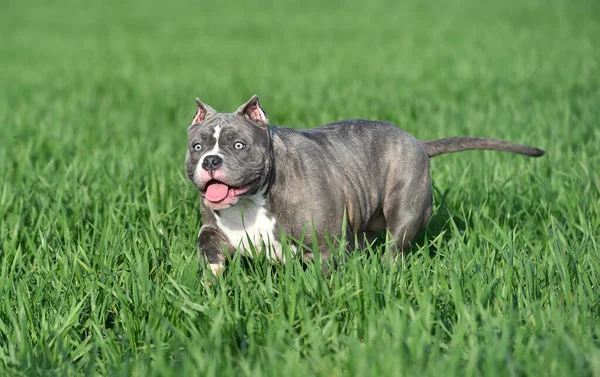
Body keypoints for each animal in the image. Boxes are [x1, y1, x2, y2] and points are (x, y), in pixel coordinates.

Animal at [185, 95, 548, 274]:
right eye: (197, 147)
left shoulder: (324, 248)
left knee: (395, 247)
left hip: (405, 210)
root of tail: (418, 141)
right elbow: (207, 244)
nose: (211, 161)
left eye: (239, 145)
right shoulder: (216, 229)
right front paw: (212, 275)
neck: (252, 200)